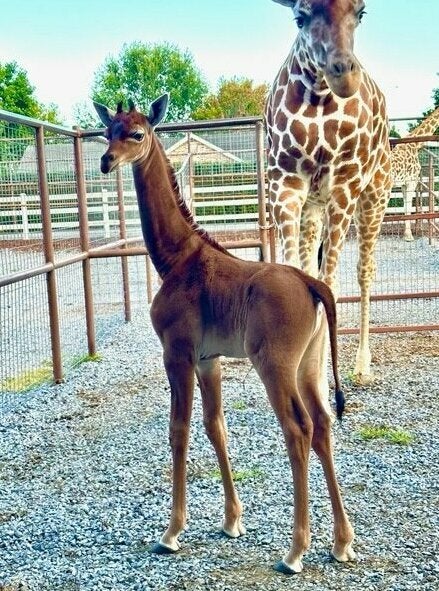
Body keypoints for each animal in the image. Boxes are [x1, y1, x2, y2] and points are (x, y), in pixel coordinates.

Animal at [264, 0, 392, 384]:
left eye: (361, 13)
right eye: (300, 17)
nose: (343, 74)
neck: (319, 97)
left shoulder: (344, 185)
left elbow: (330, 282)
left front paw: (319, 380)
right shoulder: (284, 183)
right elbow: (297, 274)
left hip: (374, 197)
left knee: (365, 270)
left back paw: (362, 366)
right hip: (313, 206)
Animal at [392, 106, 439, 240]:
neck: (414, 144)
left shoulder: (404, 184)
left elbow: (405, 206)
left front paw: (406, 234)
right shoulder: (411, 181)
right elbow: (408, 207)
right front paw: (408, 236)